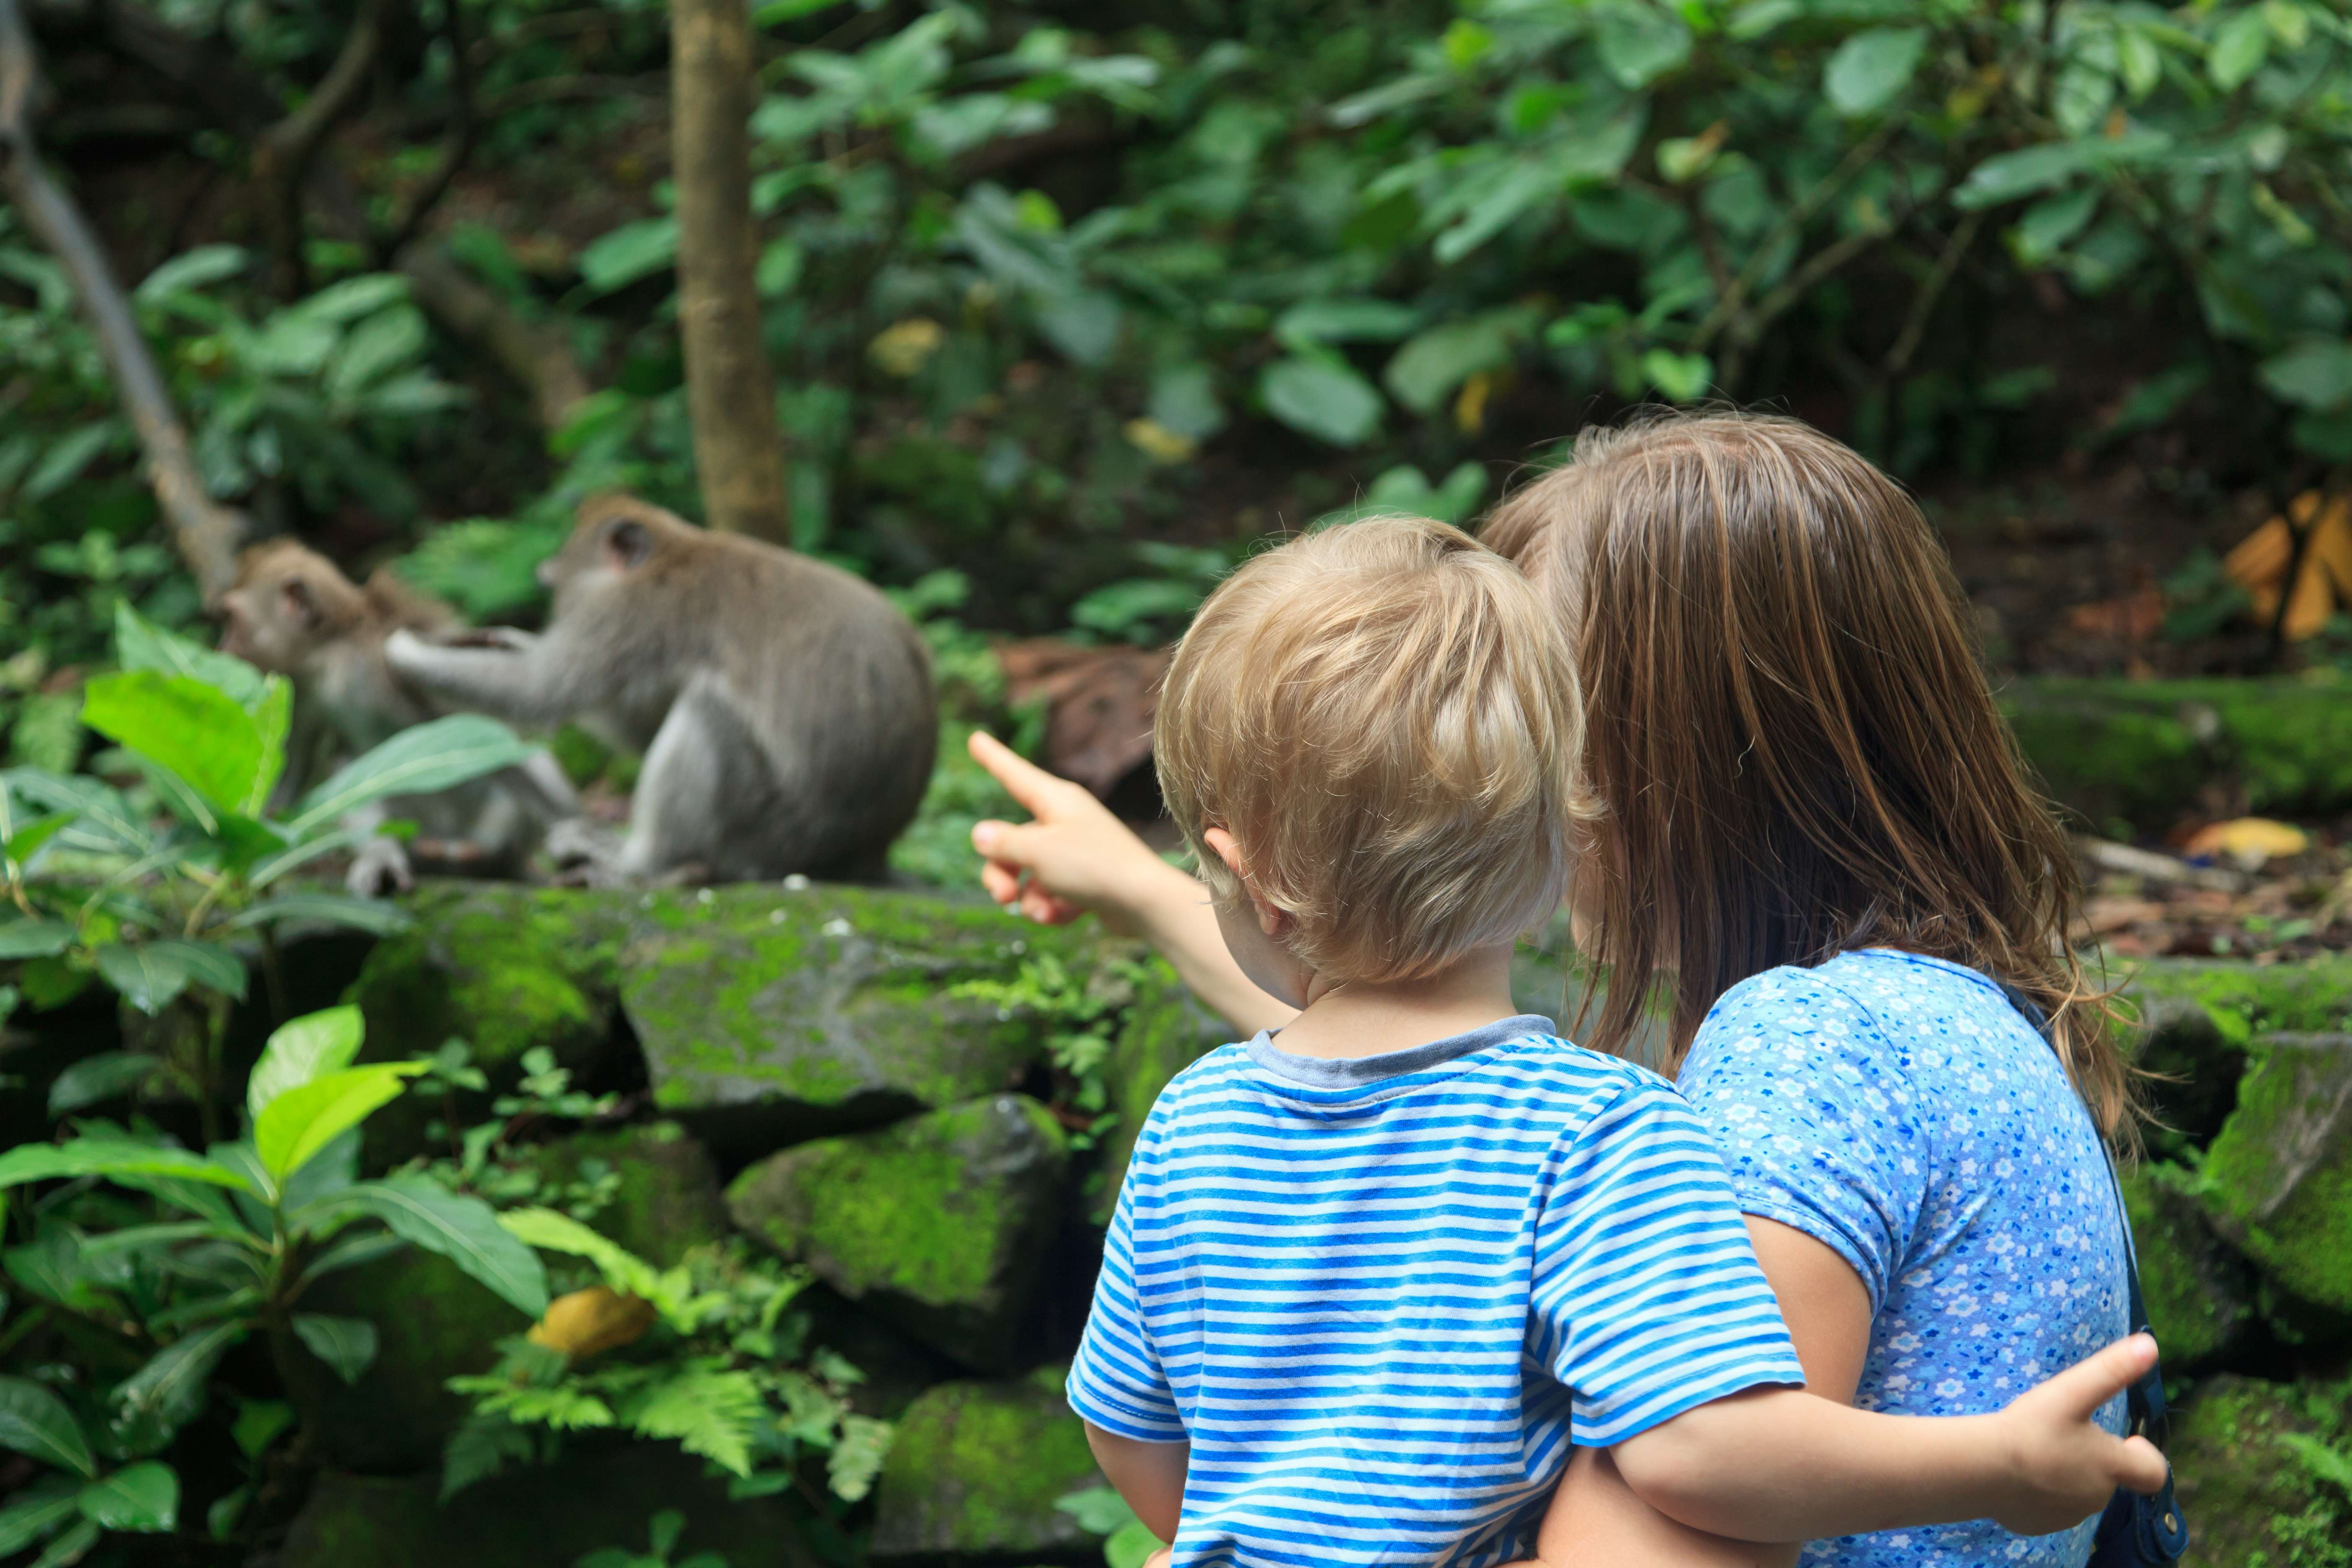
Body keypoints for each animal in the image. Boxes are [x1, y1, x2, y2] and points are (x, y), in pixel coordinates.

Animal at [216, 540, 581, 896]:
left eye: (233, 619)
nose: (222, 647)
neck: (329, 657)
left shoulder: (384, 660)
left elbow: (484, 732)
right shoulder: (302, 690)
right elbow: (295, 761)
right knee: (348, 766)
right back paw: (385, 856)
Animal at [381, 495, 939, 885]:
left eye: (557, 587)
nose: (553, 607)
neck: (673, 549)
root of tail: (864, 856)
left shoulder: (632, 615)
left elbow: (544, 690)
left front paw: (407, 652)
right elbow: (636, 726)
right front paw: (503, 639)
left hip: (769, 840)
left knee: (707, 712)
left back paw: (638, 862)